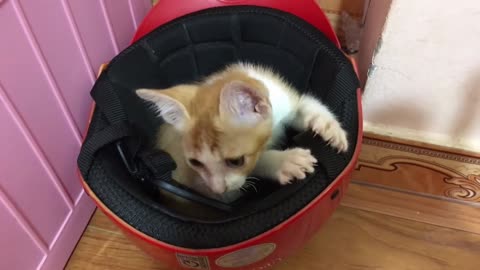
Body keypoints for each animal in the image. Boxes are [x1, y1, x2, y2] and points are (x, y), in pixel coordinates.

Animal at [137, 63, 346, 198]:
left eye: (235, 161)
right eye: (195, 163)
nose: (218, 190)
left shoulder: (283, 100)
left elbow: (304, 105)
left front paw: (331, 128)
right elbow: (258, 162)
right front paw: (285, 161)